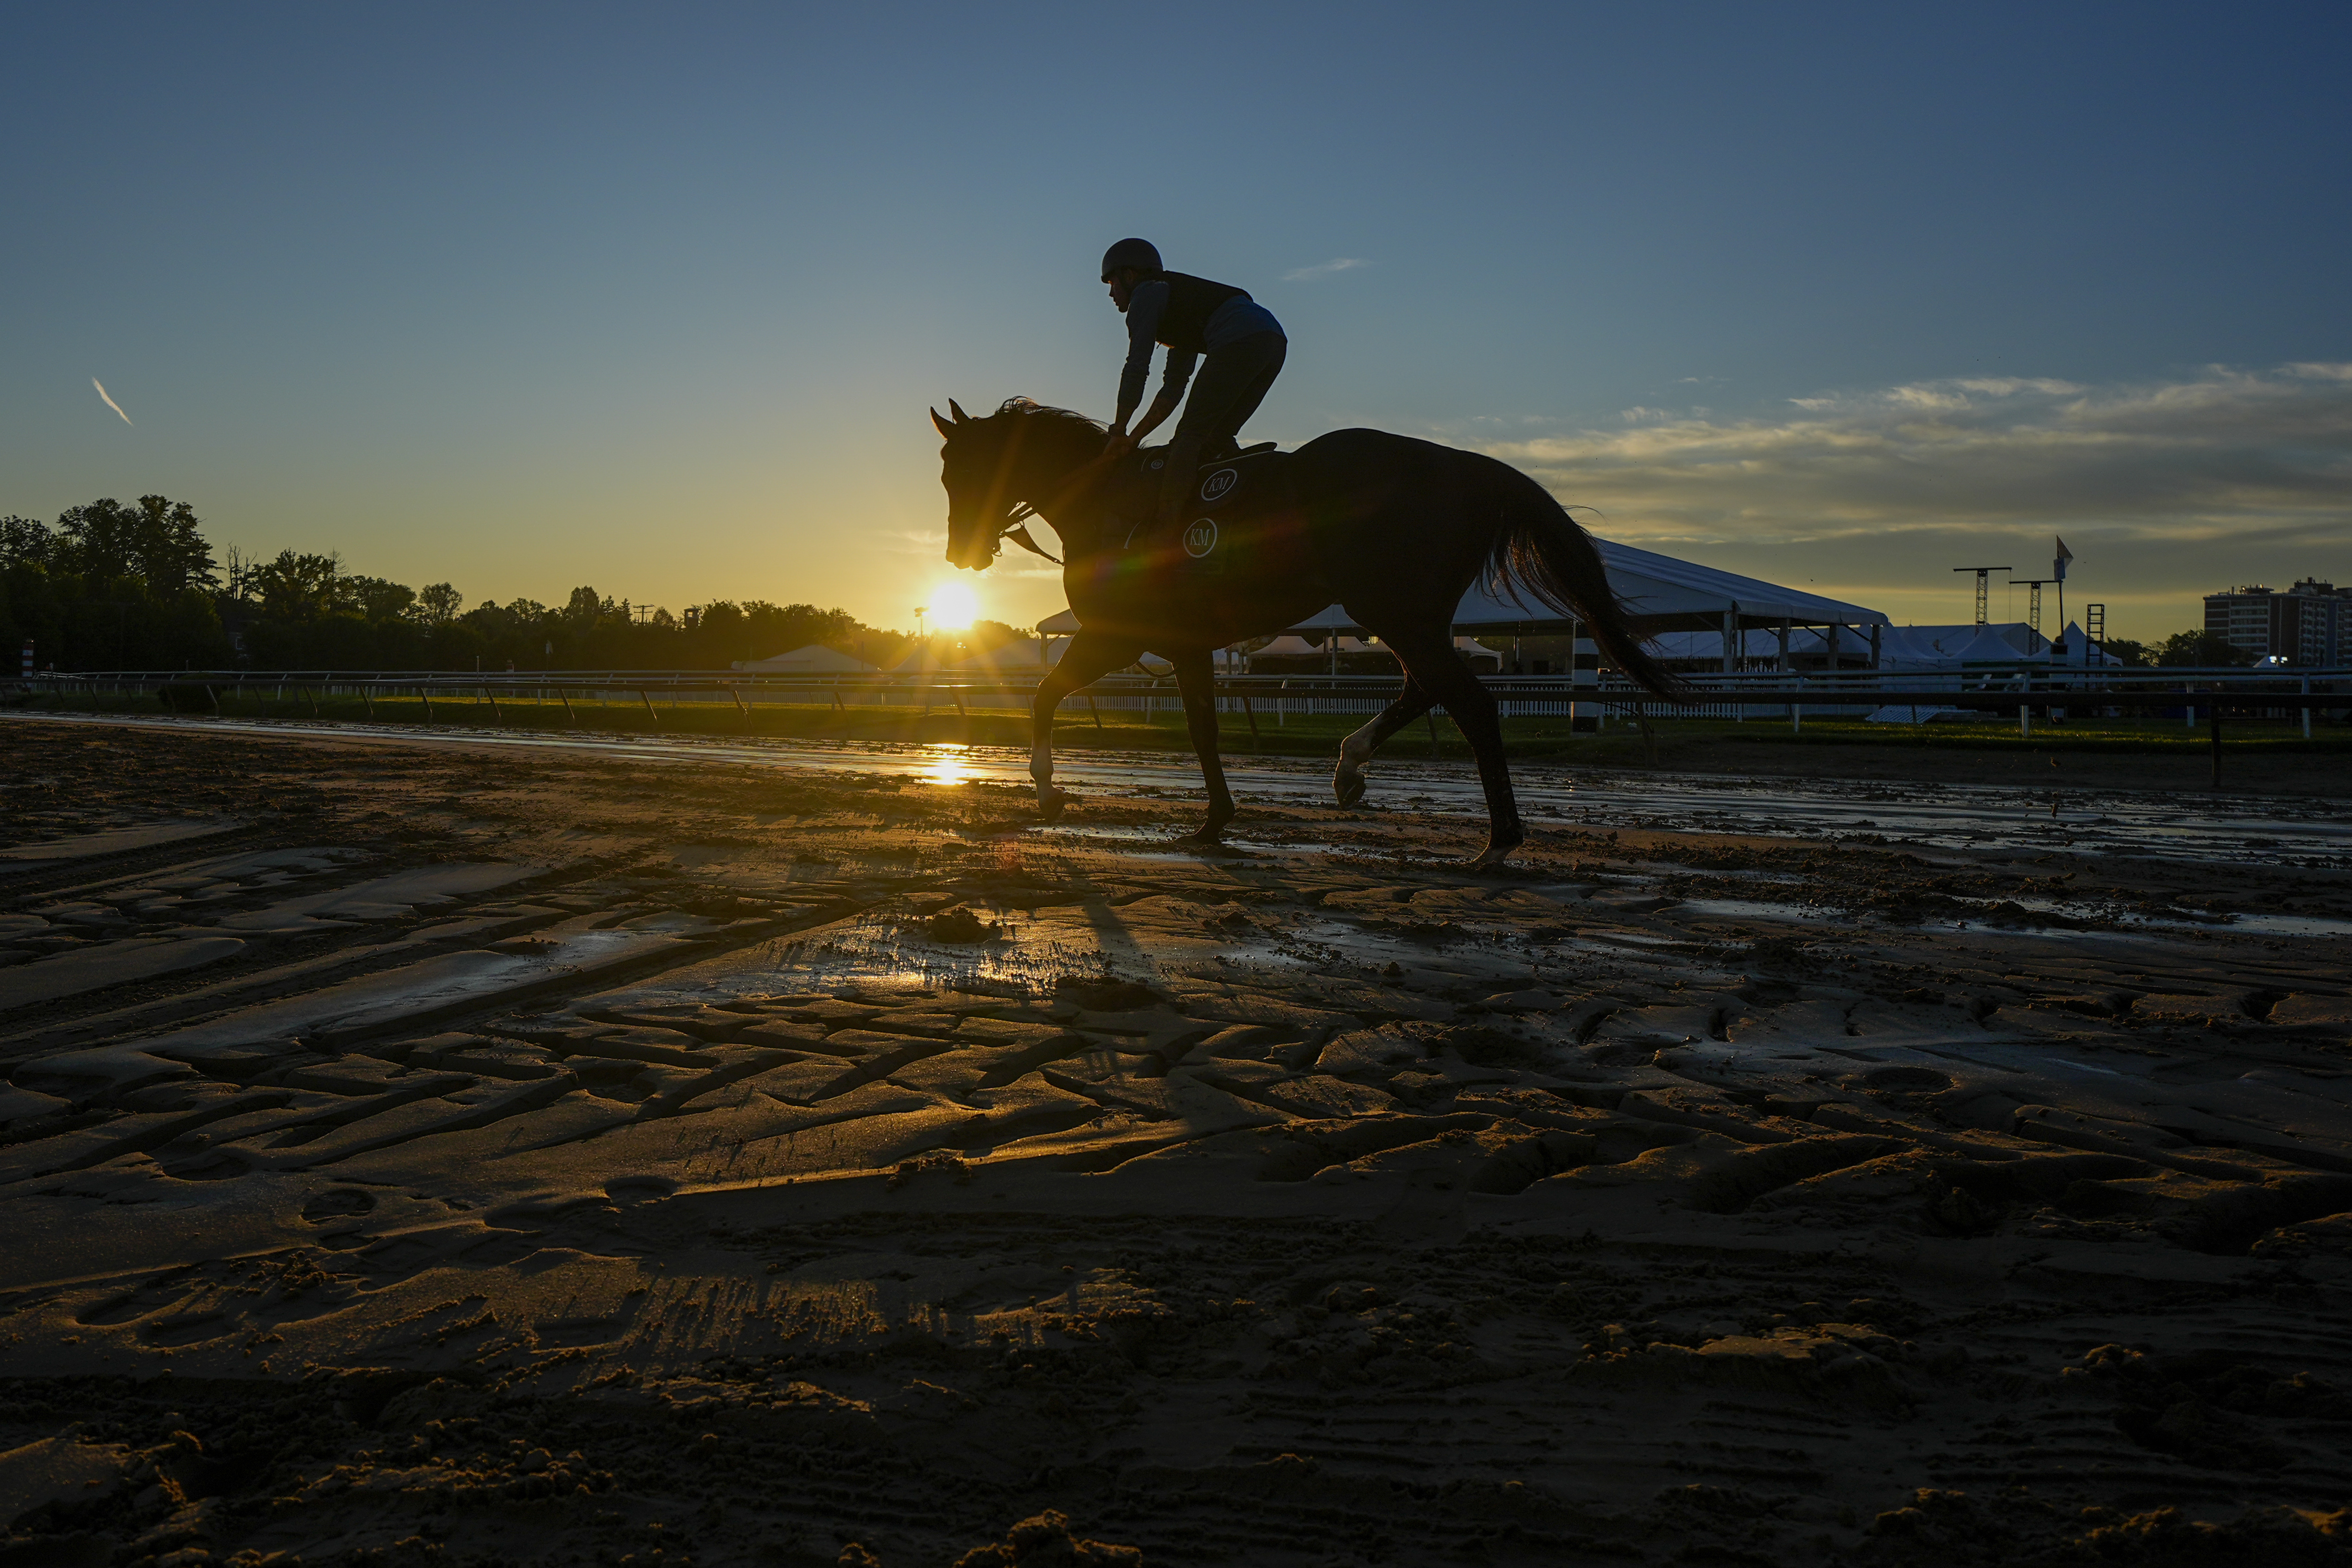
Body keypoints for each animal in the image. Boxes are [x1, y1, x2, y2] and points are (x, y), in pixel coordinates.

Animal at [926, 392, 1684, 860]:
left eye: (958, 470)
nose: (961, 553)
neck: (1104, 500)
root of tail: (1469, 468)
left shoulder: (1119, 634)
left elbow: (1045, 695)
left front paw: (1048, 788)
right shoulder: (1185, 644)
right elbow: (1203, 729)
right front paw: (1215, 820)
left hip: (1394, 611)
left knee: (1468, 702)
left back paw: (1499, 840)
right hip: (1409, 615)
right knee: (1426, 689)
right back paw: (1351, 766)